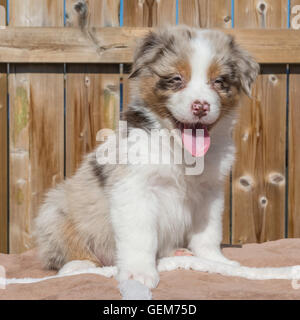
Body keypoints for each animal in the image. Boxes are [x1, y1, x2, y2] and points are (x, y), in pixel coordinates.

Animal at [34, 26, 258, 288]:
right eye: (176, 79)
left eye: (219, 82)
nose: (201, 106)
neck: (177, 147)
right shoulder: (135, 189)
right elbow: (140, 236)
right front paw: (138, 274)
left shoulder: (209, 192)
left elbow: (208, 233)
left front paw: (215, 261)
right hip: (55, 210)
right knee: (66, 249)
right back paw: (79, 265)